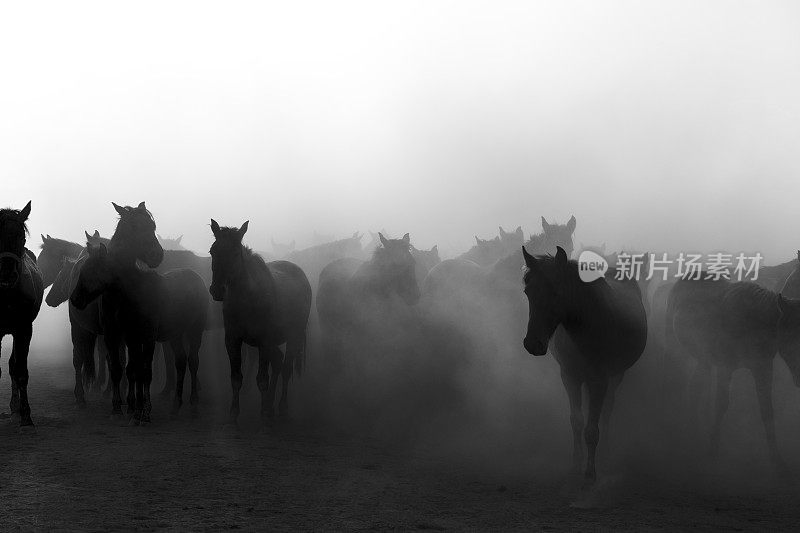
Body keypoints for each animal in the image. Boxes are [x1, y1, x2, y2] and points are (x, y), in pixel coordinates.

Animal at [208, 217, 310, 424]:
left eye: (235, 253)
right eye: (212, 251)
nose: (217, 290)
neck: (248, 297)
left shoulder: (264, 341)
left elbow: (262, 379)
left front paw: (263, 413)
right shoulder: (232, 340)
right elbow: (236, 377)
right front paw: (234, 412)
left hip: (293, 337)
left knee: (285, 368)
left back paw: (280, 407)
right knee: (278, 362)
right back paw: (270, 404)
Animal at [520, 245, 648, 482]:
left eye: (556, 292)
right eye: (528, 292)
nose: (533, 344)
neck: (586, 329)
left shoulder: (600, 381)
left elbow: (592, 429)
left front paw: (590, 472)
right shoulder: (570, 377)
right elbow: (577, 421)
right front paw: (575, 464)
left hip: (616, 376)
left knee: (607, 411)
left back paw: (606, 454)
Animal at [664, 274, 800, 470]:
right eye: (792, 339)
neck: (753, 320)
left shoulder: (763, 369)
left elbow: (767, 411)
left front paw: (777, 460)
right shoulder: (725, 368)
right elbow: (720, 405)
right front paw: (713, 451)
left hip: (704, 361)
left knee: (695, 388)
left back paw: (695, 431)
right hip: (673, 346)